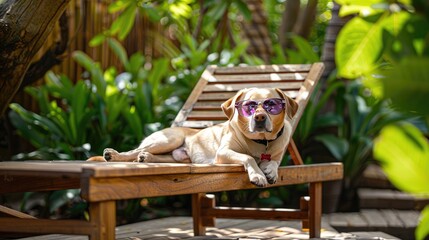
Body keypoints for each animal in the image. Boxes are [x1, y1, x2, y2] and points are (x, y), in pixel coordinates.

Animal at [88, 88, 296, 188]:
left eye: (271, 105)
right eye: (249, 106)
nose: (260, 117)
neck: (262, 142)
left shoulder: (277, 154)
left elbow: (274, 162)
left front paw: (270, 171)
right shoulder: (223, 152)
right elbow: (248, 157)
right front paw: (258, 175)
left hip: (178, 154)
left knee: (156, 156)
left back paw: (145, 158)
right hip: (167, 140)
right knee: (134, 150)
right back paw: (114, 155)